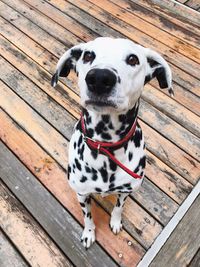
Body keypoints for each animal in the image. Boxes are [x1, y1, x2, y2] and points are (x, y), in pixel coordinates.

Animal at [51, 37, 172, 249]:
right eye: (88, 55)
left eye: (133, 59)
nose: (99, 78)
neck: (106, 146)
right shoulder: (82, 194)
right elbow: (88, 217)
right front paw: (89, 233)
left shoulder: (125, 191)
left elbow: (118, 208)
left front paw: (115, 222)